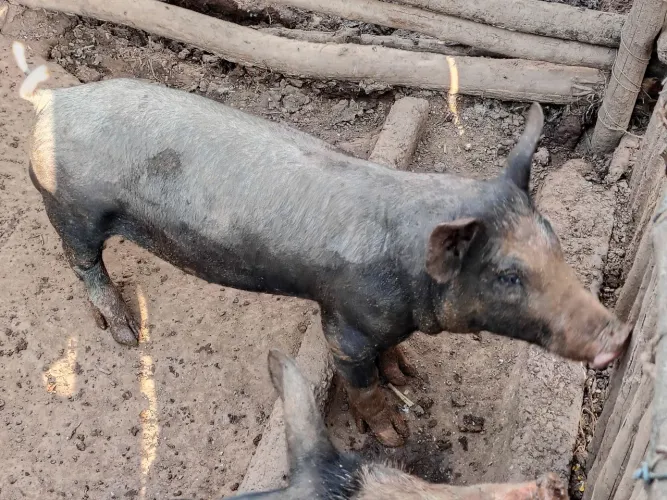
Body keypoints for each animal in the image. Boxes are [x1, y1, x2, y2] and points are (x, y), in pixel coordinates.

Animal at [13, 41, 630, 448]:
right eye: (507, 275)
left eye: (555, 241)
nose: (620, 336)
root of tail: (52, 103)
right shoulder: (345, 324)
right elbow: (362, 379)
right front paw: (395, 436)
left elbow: (391, 358)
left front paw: (410, 374)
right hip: (71, 209)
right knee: (83, 263)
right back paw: (124, 333)